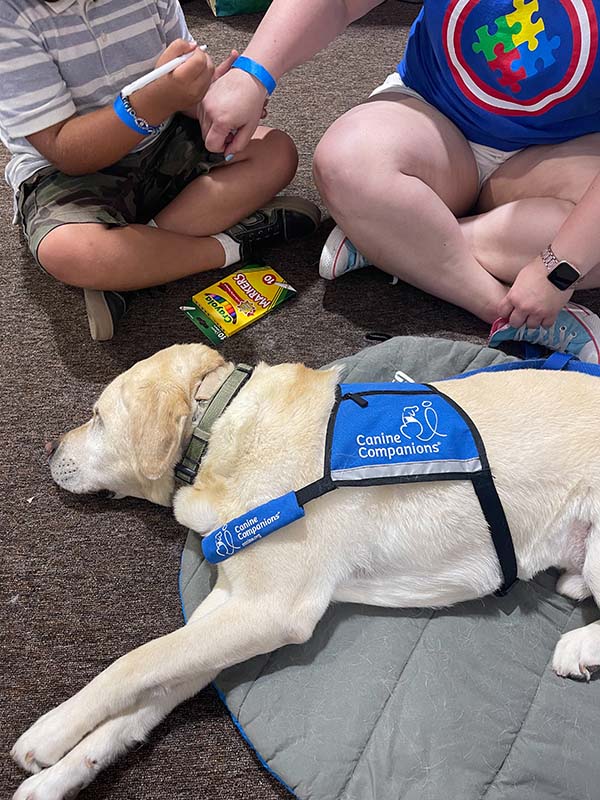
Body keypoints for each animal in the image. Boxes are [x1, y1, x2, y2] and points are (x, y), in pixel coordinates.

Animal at [10, 344, 600, 800]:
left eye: (96, 417)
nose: (47, 446)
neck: (218, 426)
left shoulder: (272, 611)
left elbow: (134, 663)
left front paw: (50, 731)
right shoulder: (233, 605)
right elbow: (152, 687)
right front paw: (62, 774)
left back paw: (576, 647)